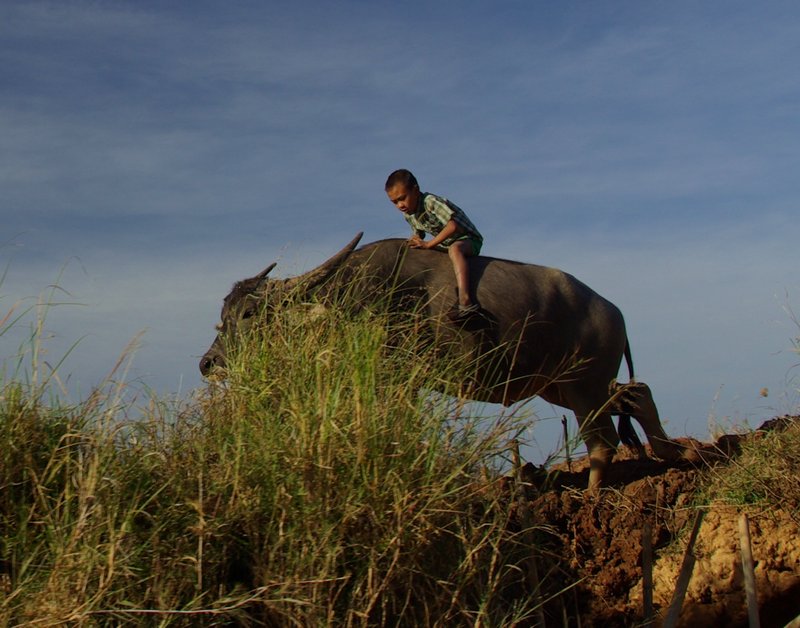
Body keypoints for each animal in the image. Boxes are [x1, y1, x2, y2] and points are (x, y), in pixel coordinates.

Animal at [202, 233, 692, 488]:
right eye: (224, 314)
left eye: (249, 314)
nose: (209, 363)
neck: (346, 302)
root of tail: (613, 311)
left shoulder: (398, 380)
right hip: (563, 388)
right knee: (635, 394)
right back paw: (668, 450)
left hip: (583, 388)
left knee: (602, 442)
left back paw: (593, 494)